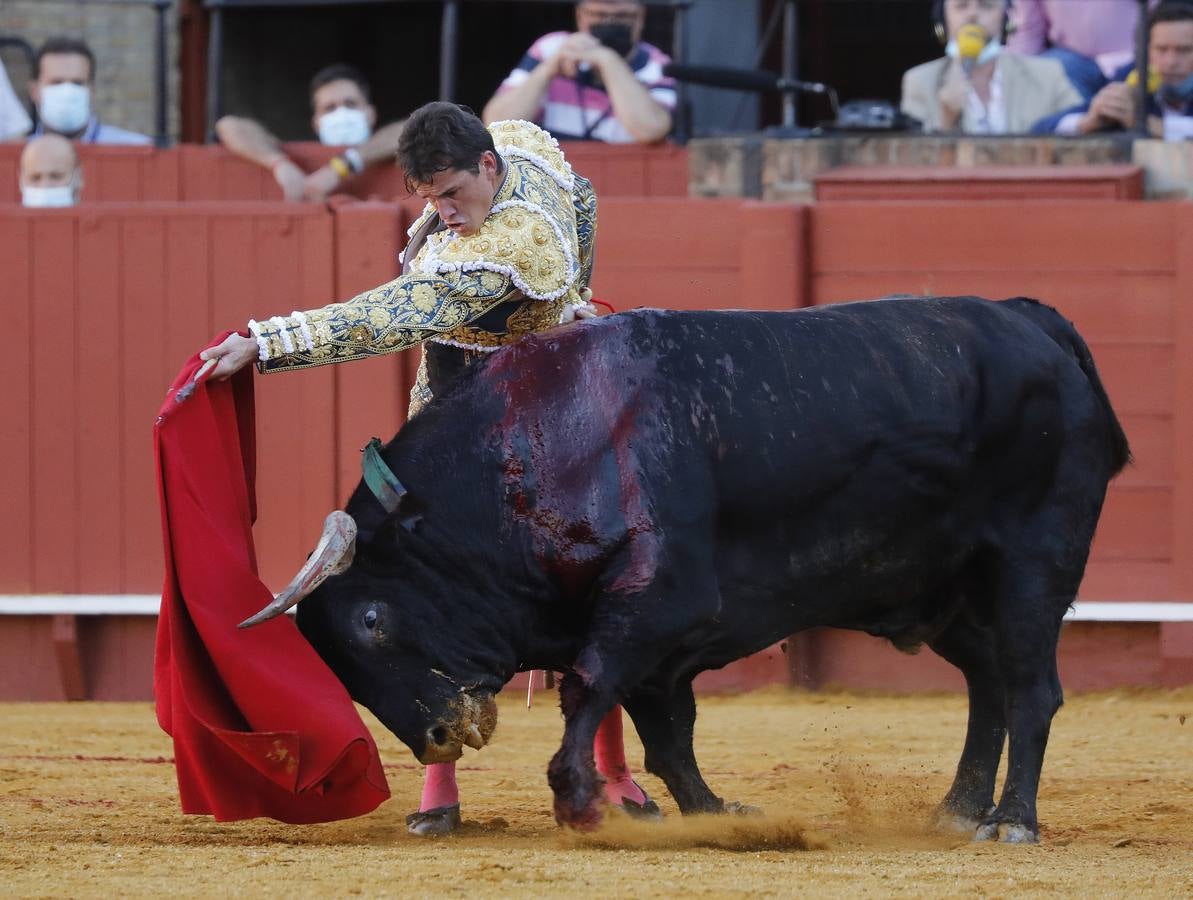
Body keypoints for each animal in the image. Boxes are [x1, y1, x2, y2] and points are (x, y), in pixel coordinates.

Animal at [244, 296, 1126, 840]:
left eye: (371, 619)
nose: (437, 737)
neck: (534, 453)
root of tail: (1030, 321)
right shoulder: (651, 641)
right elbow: (665, 732)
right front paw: (710, 811)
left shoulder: (656, 602)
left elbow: (590, 690)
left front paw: (579, 803)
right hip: (941, 590)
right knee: (986, 685)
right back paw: (957, 809)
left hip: (1032, 566)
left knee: (1031, 690)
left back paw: (1010, 821)